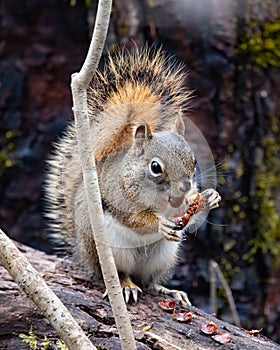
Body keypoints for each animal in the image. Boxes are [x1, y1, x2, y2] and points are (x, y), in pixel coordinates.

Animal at [45, 45, 221, 304]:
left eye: (194, 160)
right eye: (155, 167)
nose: (185, 188)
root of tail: (83, 255)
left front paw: (209, 197)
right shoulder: (120, 196)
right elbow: (135, 218)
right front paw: (159, 224)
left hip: (164, 256)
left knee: (148, 280)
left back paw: (168, 290)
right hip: (110, 250)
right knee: (120, 273)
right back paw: (126, 285)